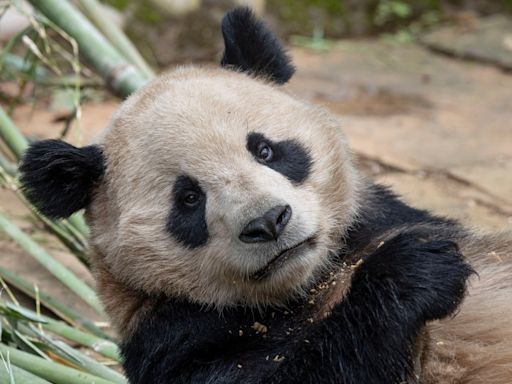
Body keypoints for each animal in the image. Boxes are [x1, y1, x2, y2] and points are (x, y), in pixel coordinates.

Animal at [17, 6, 512, 384]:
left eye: (266, 150)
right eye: (189, 199)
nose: (269, 222)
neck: (307, 284)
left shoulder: (385, 219)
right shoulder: (173, 338)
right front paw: (412, 270)